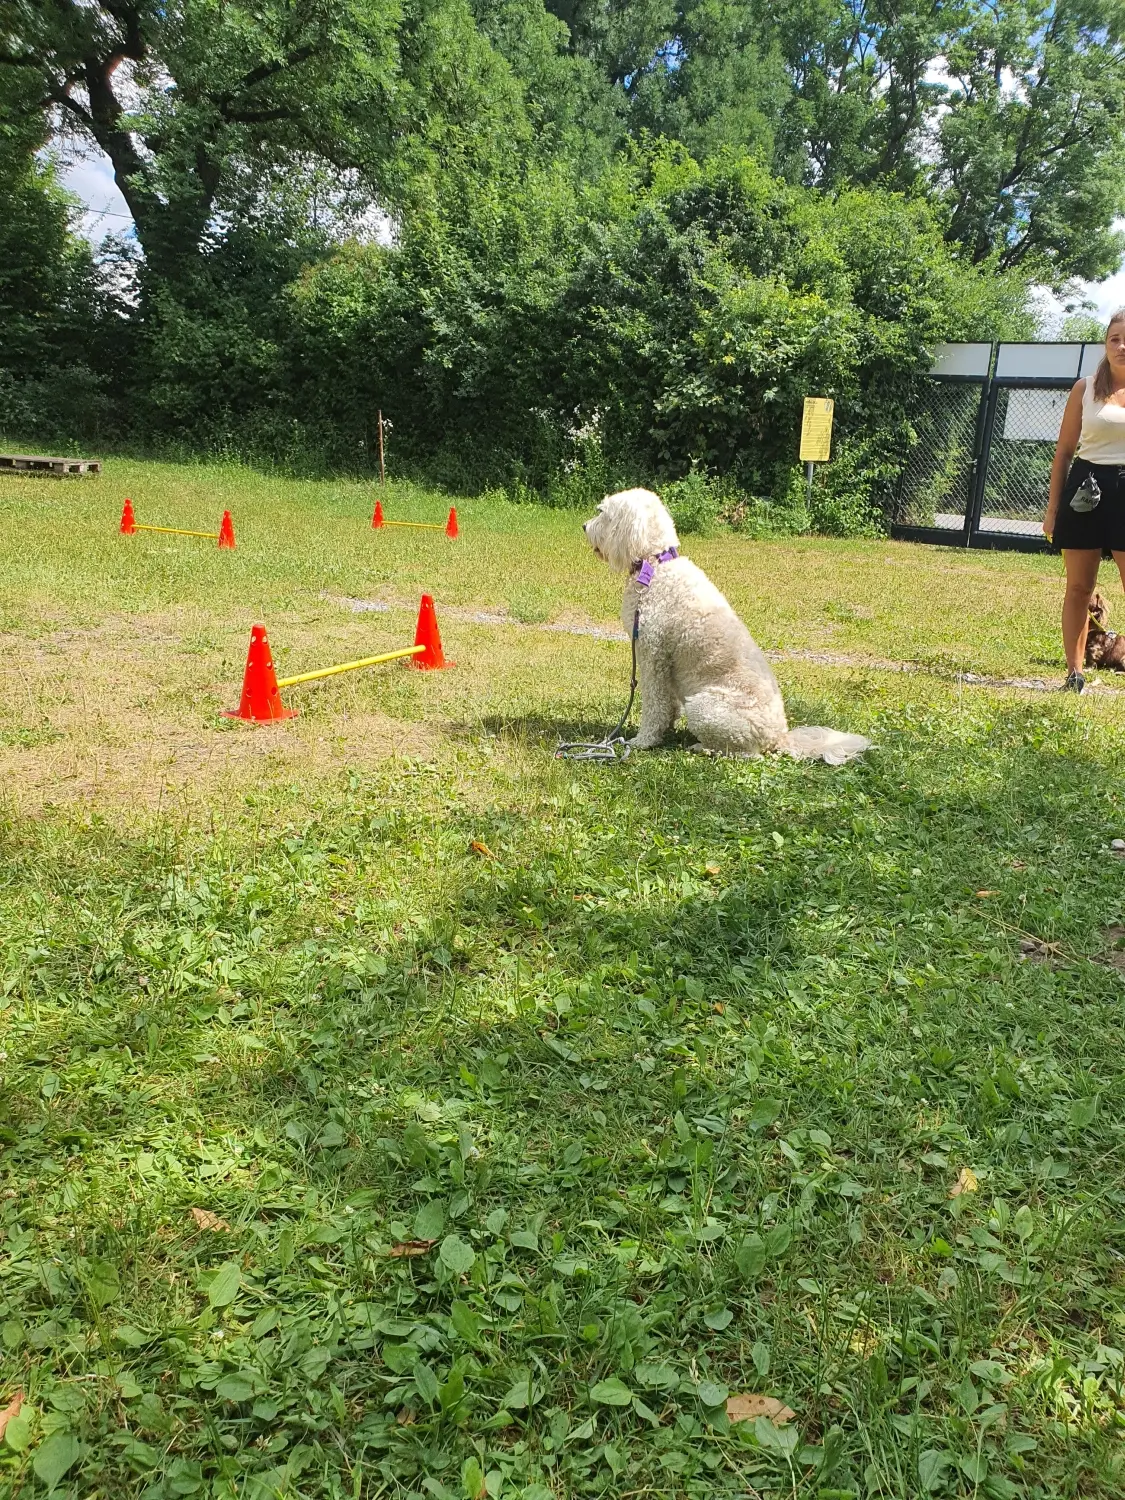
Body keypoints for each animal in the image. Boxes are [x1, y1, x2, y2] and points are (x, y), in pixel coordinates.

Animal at [585, 489, 876, 768]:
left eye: (603, 513)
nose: (584, 526)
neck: (656, 564)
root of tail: (778, 737)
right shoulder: (663, 663)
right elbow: (667, 705)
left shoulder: (652, 655)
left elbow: (654, 705)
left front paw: (644, 740)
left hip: (704, 708)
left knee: (745, 755)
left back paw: (702, 747)